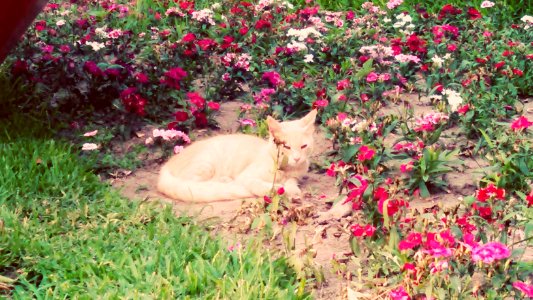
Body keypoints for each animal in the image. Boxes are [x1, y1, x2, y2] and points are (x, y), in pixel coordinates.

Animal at [157, 109, 316, 203]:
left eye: (303, 146)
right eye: (287, 147)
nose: (297, 158)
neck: (284, 169)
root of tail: (166, 166)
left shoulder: (296, 176)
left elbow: (292, 181)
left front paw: (292, 188)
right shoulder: (247, 178)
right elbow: (267, 186)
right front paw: (283, 189)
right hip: (206, 163)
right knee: (195, 183)